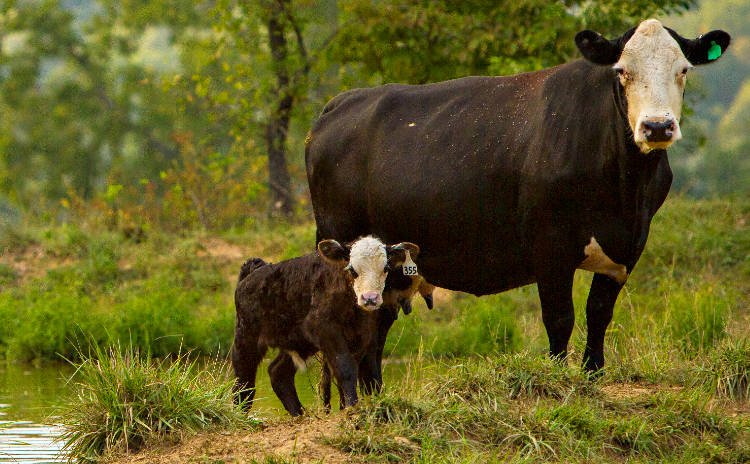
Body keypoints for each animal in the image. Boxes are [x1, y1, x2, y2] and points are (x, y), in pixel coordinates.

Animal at [304, 20, 728, 372]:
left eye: (683, 70)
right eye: (622, 70)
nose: (656, 126)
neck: (624, 191)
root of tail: (339, 104)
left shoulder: (628, 247)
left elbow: (598, 315)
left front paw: (592, 376)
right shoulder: (550, 247)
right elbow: (559, 319)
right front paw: (558, 380)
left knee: (374, 335)